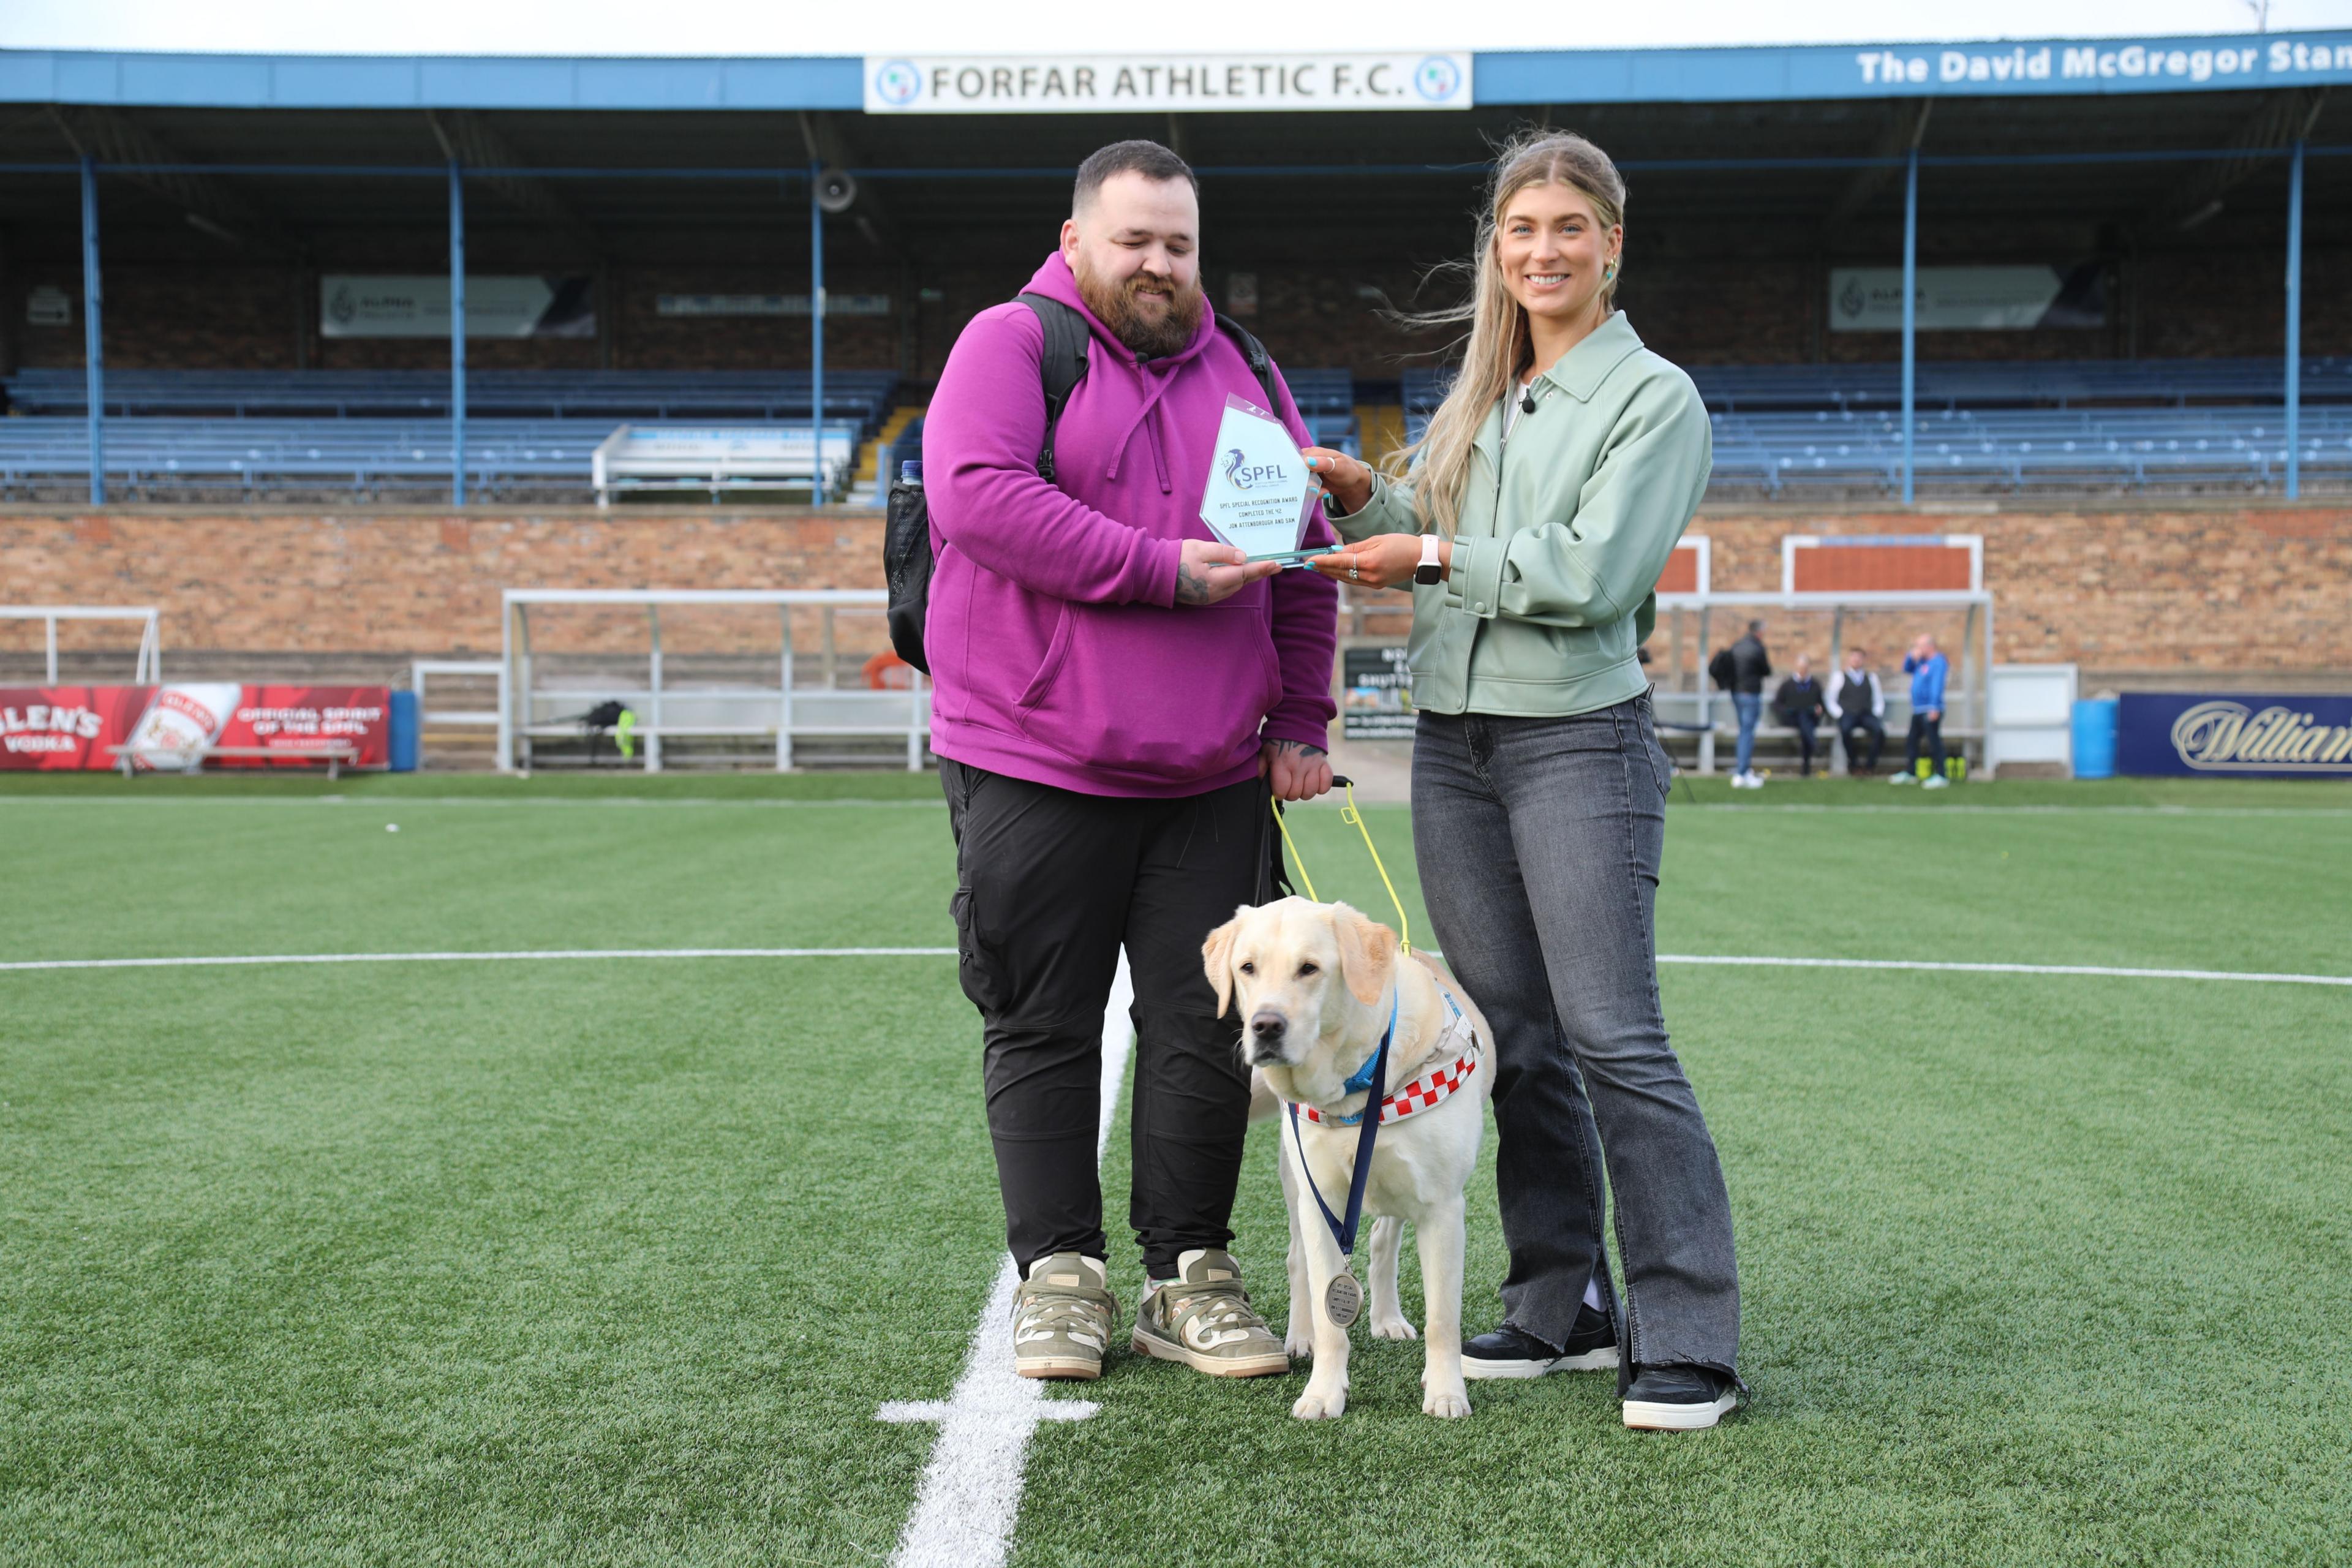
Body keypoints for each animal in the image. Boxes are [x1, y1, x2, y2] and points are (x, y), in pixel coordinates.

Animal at [1213, 893, 1486, 1420]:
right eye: (1247, 968)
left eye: (1309, 968)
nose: (1266, 1026)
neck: (1353, 1088)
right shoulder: (1321, 1201)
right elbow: (1330, 1320)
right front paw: (1323, 1393)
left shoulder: (1443, 1208)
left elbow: (1443, 1318)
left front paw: (1446, 1393)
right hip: (1295, 1187)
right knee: (1298, 1259)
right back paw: (1300, 1337)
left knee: (1384, 1241)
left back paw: (1387, 1318)